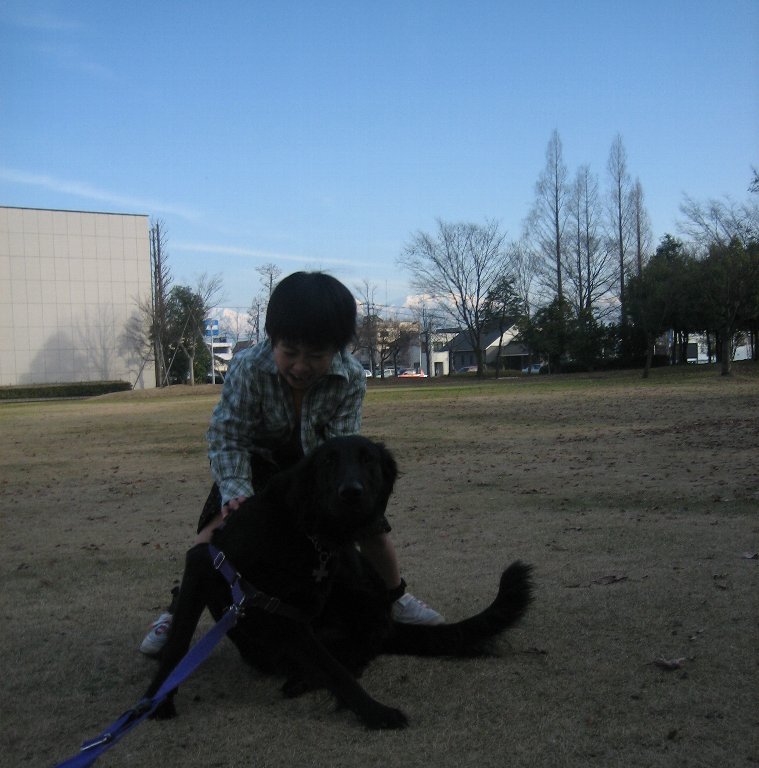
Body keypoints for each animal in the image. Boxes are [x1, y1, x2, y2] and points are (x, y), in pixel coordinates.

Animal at [144, 435, 533, 729]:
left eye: (368, 461)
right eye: (329, 462)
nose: (352, 492)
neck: (308, 533)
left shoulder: (293, 613)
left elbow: (336, 671)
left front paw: (373, 711)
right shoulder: (207, 566)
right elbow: (177, 645)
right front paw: (156, 701)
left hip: (361, 601)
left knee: (357, 656)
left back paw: (303, 679)